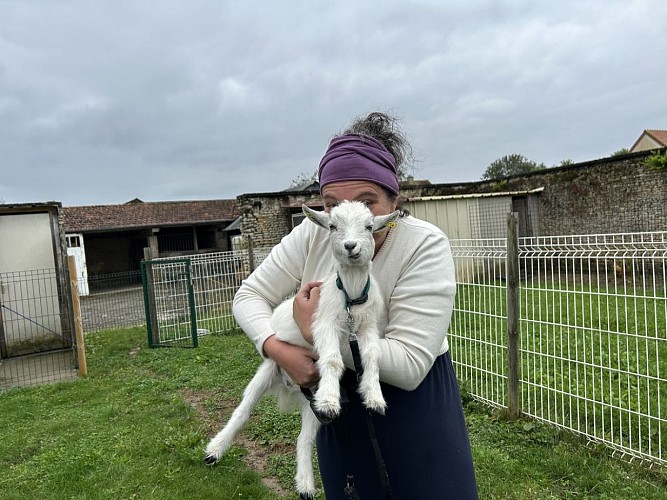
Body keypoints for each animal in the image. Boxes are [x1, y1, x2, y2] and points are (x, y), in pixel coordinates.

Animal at [204, 201, 399, 499]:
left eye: (369, 226)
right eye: (332, 226)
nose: (350, 246)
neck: (351, 297)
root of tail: (290, 387)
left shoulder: (367, 329)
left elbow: (372, 357)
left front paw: (374, 397)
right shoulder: (324, 324)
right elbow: (332, 360)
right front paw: (331, 400)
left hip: (311, 404)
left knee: (303, 438)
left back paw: (306, 485)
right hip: (267, 372)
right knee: (243, 411)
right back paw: (215, 450)